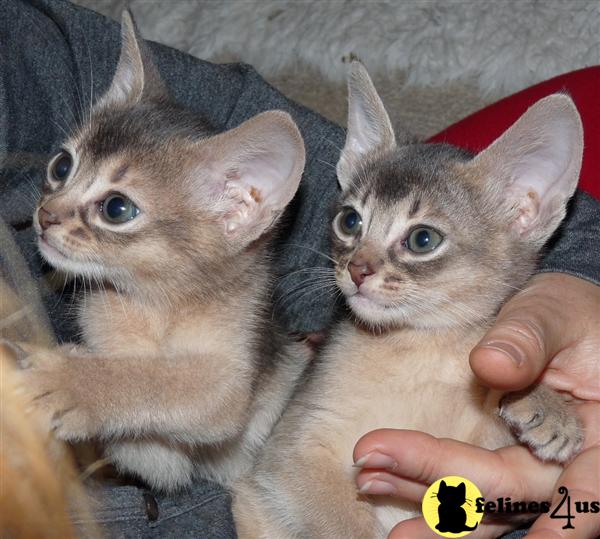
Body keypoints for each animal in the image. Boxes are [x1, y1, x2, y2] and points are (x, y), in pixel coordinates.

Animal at [15, 11, 310, 494]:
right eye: (61, 165)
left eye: (117, 209)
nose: (45, 215)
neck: (160, 305)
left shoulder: (231, 377)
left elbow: (157, 379)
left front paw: (65, 382)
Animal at [232, 62, 584, 536]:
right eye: (350, 220)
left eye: (422, 239)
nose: (357, 270)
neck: (420, 351)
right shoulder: (288, 458)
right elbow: (344, 525)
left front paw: (542, 402)